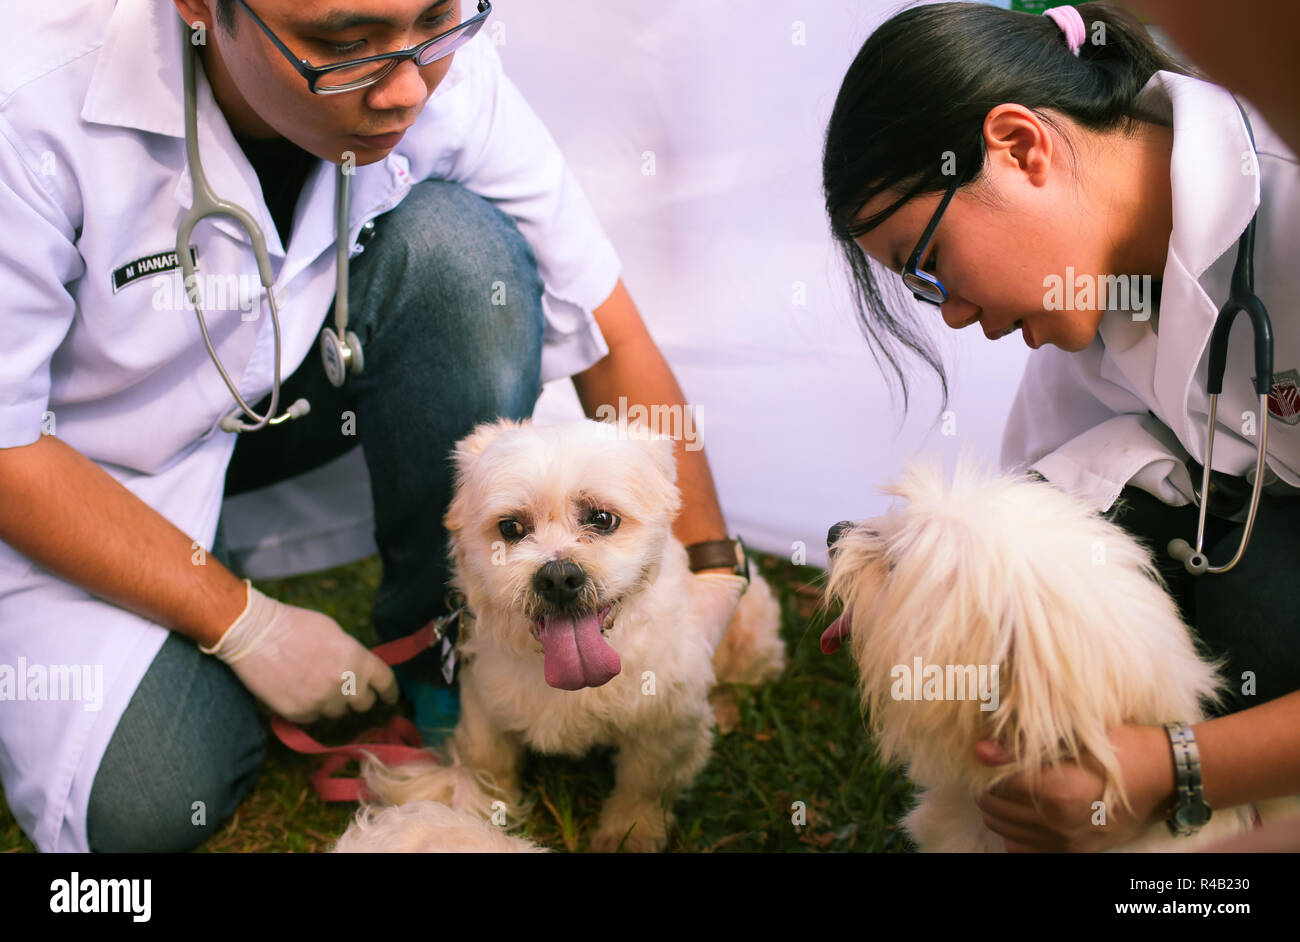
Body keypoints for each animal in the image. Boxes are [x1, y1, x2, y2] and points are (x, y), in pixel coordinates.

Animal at [340, 415, 780, 847]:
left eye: (602, 518)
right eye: (510, 527)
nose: (557, 577)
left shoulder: (665, 723)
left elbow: (643, 788)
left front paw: (629, 833)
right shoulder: (485, 704)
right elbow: (487, 763)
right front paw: (480, 812)